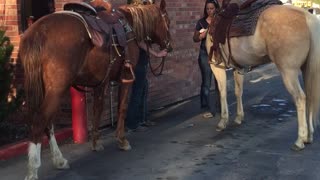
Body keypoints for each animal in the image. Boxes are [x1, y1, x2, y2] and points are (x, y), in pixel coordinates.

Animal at [19, 0, 171, 179]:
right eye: (167, 21)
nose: (169, 46)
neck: (130, 25)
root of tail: (38, 31)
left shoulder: (101, 82)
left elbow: (97, 110)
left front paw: (96, 142)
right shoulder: (126, 79)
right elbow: (122, 108)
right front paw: (122, 140)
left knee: (47, 123)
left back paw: (59, 160)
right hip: (56, 89)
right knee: (40, 121)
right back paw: (33, 169)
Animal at [206, 3, 320, 150]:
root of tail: (305, 16)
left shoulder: (216, 66)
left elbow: (223, 92)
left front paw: (223, 121)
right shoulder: (238, 67)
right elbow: (238, 92)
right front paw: (239, 117)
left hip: (289, 71)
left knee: (300, 98)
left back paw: (300, 140)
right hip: (306, 69)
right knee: (310, 96)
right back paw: (309, 136)